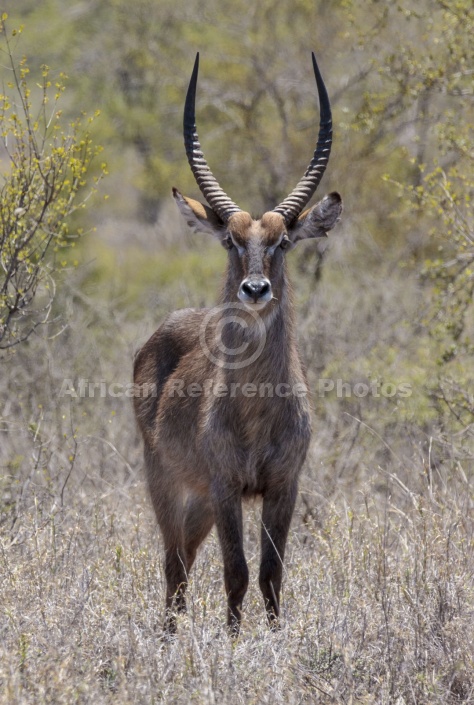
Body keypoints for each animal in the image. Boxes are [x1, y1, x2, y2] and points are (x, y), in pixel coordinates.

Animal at [133, 52, 340, 636]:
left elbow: (271, 572)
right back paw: (169, 637)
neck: (255, 408)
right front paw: (231, 642)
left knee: (185, 556)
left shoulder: (283, 485)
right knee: (174, 563)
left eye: (283, 241)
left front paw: (273, 638)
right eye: (231, 240)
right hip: (167, 483)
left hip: (200, 500)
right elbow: (237, 571)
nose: (255, 289)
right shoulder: (226, 485)